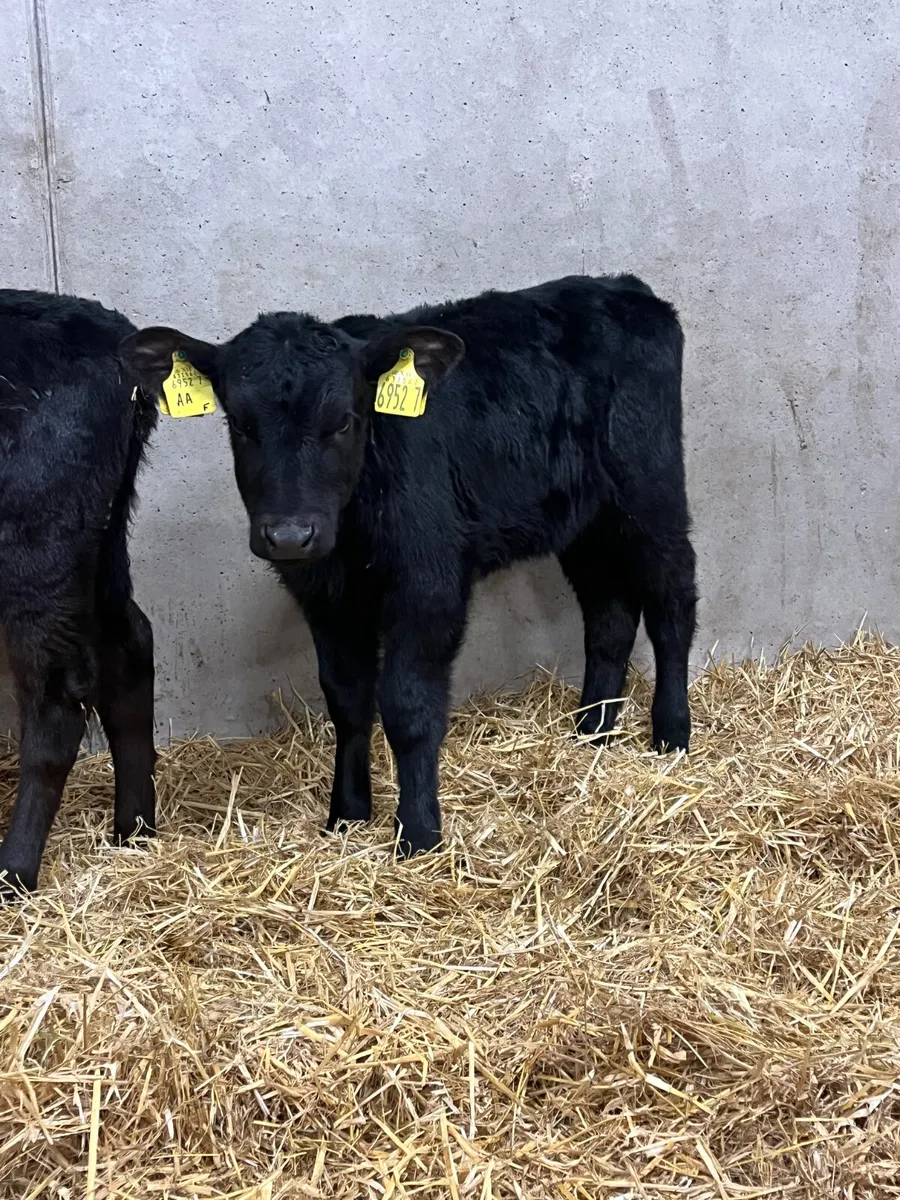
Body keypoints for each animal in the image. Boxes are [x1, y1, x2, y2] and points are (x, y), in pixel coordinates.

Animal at [0, 291, 158, 898]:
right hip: (101, 541)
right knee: (130, 644)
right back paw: (133, 830)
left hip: (38, 537)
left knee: (58, 700)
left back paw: (14, 871)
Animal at [121, 274, 696, 858]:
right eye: (239, 425)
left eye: (344, 421)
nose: (289, 535)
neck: (351, 533)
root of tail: (622, 287)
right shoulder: (324, 597)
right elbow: (348, 700)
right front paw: (347, 815)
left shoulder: (428, 585)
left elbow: (409, 706)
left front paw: (418, 834)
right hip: (587, 521)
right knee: (610, 617)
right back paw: (592, 732)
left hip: (650, 492)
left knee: (673, 605)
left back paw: (671, 734)